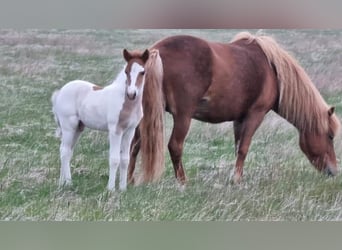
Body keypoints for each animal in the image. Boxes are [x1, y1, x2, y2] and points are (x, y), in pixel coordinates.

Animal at [51, 48, 152, 190]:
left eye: (143, 72)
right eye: (126, 71)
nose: (132, 94)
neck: (127, 103)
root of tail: (60, 92)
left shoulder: (130, 131)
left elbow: (125, 160)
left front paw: (123, 189)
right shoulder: (115, 130)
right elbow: (114, 159)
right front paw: (111, 189)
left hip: (78, 128)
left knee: (67, 151)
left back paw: (62, 182)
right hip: (68, 127)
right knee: (65, 151)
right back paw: (69, 182)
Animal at [127, 31, 340, 186]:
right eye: (330, 136)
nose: (333, 172)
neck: (273, 71)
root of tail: (155, 52)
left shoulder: (239, 118)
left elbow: (238, 147)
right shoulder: (255, 115)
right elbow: (244, 148)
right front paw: (237, 179)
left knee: (134, 145)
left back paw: (129, 181)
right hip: (183, 117)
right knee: (175, 146)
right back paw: (183, 183)